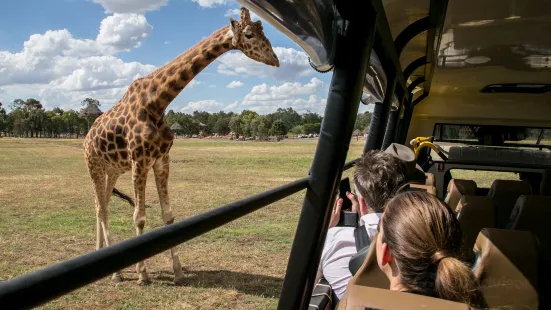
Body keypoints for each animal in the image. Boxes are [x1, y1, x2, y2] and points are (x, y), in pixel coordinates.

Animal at [82, 6, 280, 286]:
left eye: (263, 31)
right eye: (250, 34)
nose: (275, 59)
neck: (157, 103)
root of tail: (87, 137)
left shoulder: (161, 160)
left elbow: (169, 217)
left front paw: (177, 272)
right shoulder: (139, 160)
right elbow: (139, 217)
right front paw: (143, 275)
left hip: (113, 170)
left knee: (102, 206)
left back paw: (104, 257)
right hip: (95, 166)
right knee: (101, 208)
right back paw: (117, 274)